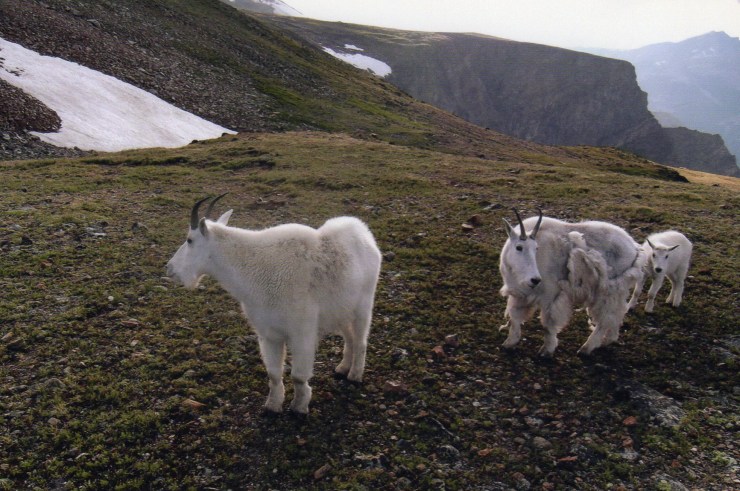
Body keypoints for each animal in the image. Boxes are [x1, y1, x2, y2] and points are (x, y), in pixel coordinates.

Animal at [165, 195, 382, 415]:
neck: (253, 269)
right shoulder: (269, 333)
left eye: (190, 240)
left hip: (363, 306)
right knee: (350, 338)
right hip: (342, 311)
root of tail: (364, 233)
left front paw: (299, 407)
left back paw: (355, 375)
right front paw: (273, 405)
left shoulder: (302, 332)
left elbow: (298, 376)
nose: (170, 269)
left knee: (361, 340)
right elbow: (274, 373)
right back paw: (342, 368)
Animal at [499, 209, 646, 356]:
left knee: (605, 319)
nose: (535, 279)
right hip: (617, 291)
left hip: (609, 290)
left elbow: (548, 323)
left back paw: (586, 348)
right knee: (616, 314)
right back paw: (608, 340)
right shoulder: (519, 293)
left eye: (536, 248)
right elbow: (515, 317)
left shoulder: (550, 294)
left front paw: (546, 350)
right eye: (519, 247)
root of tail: (634, 247)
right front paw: (509, 343)